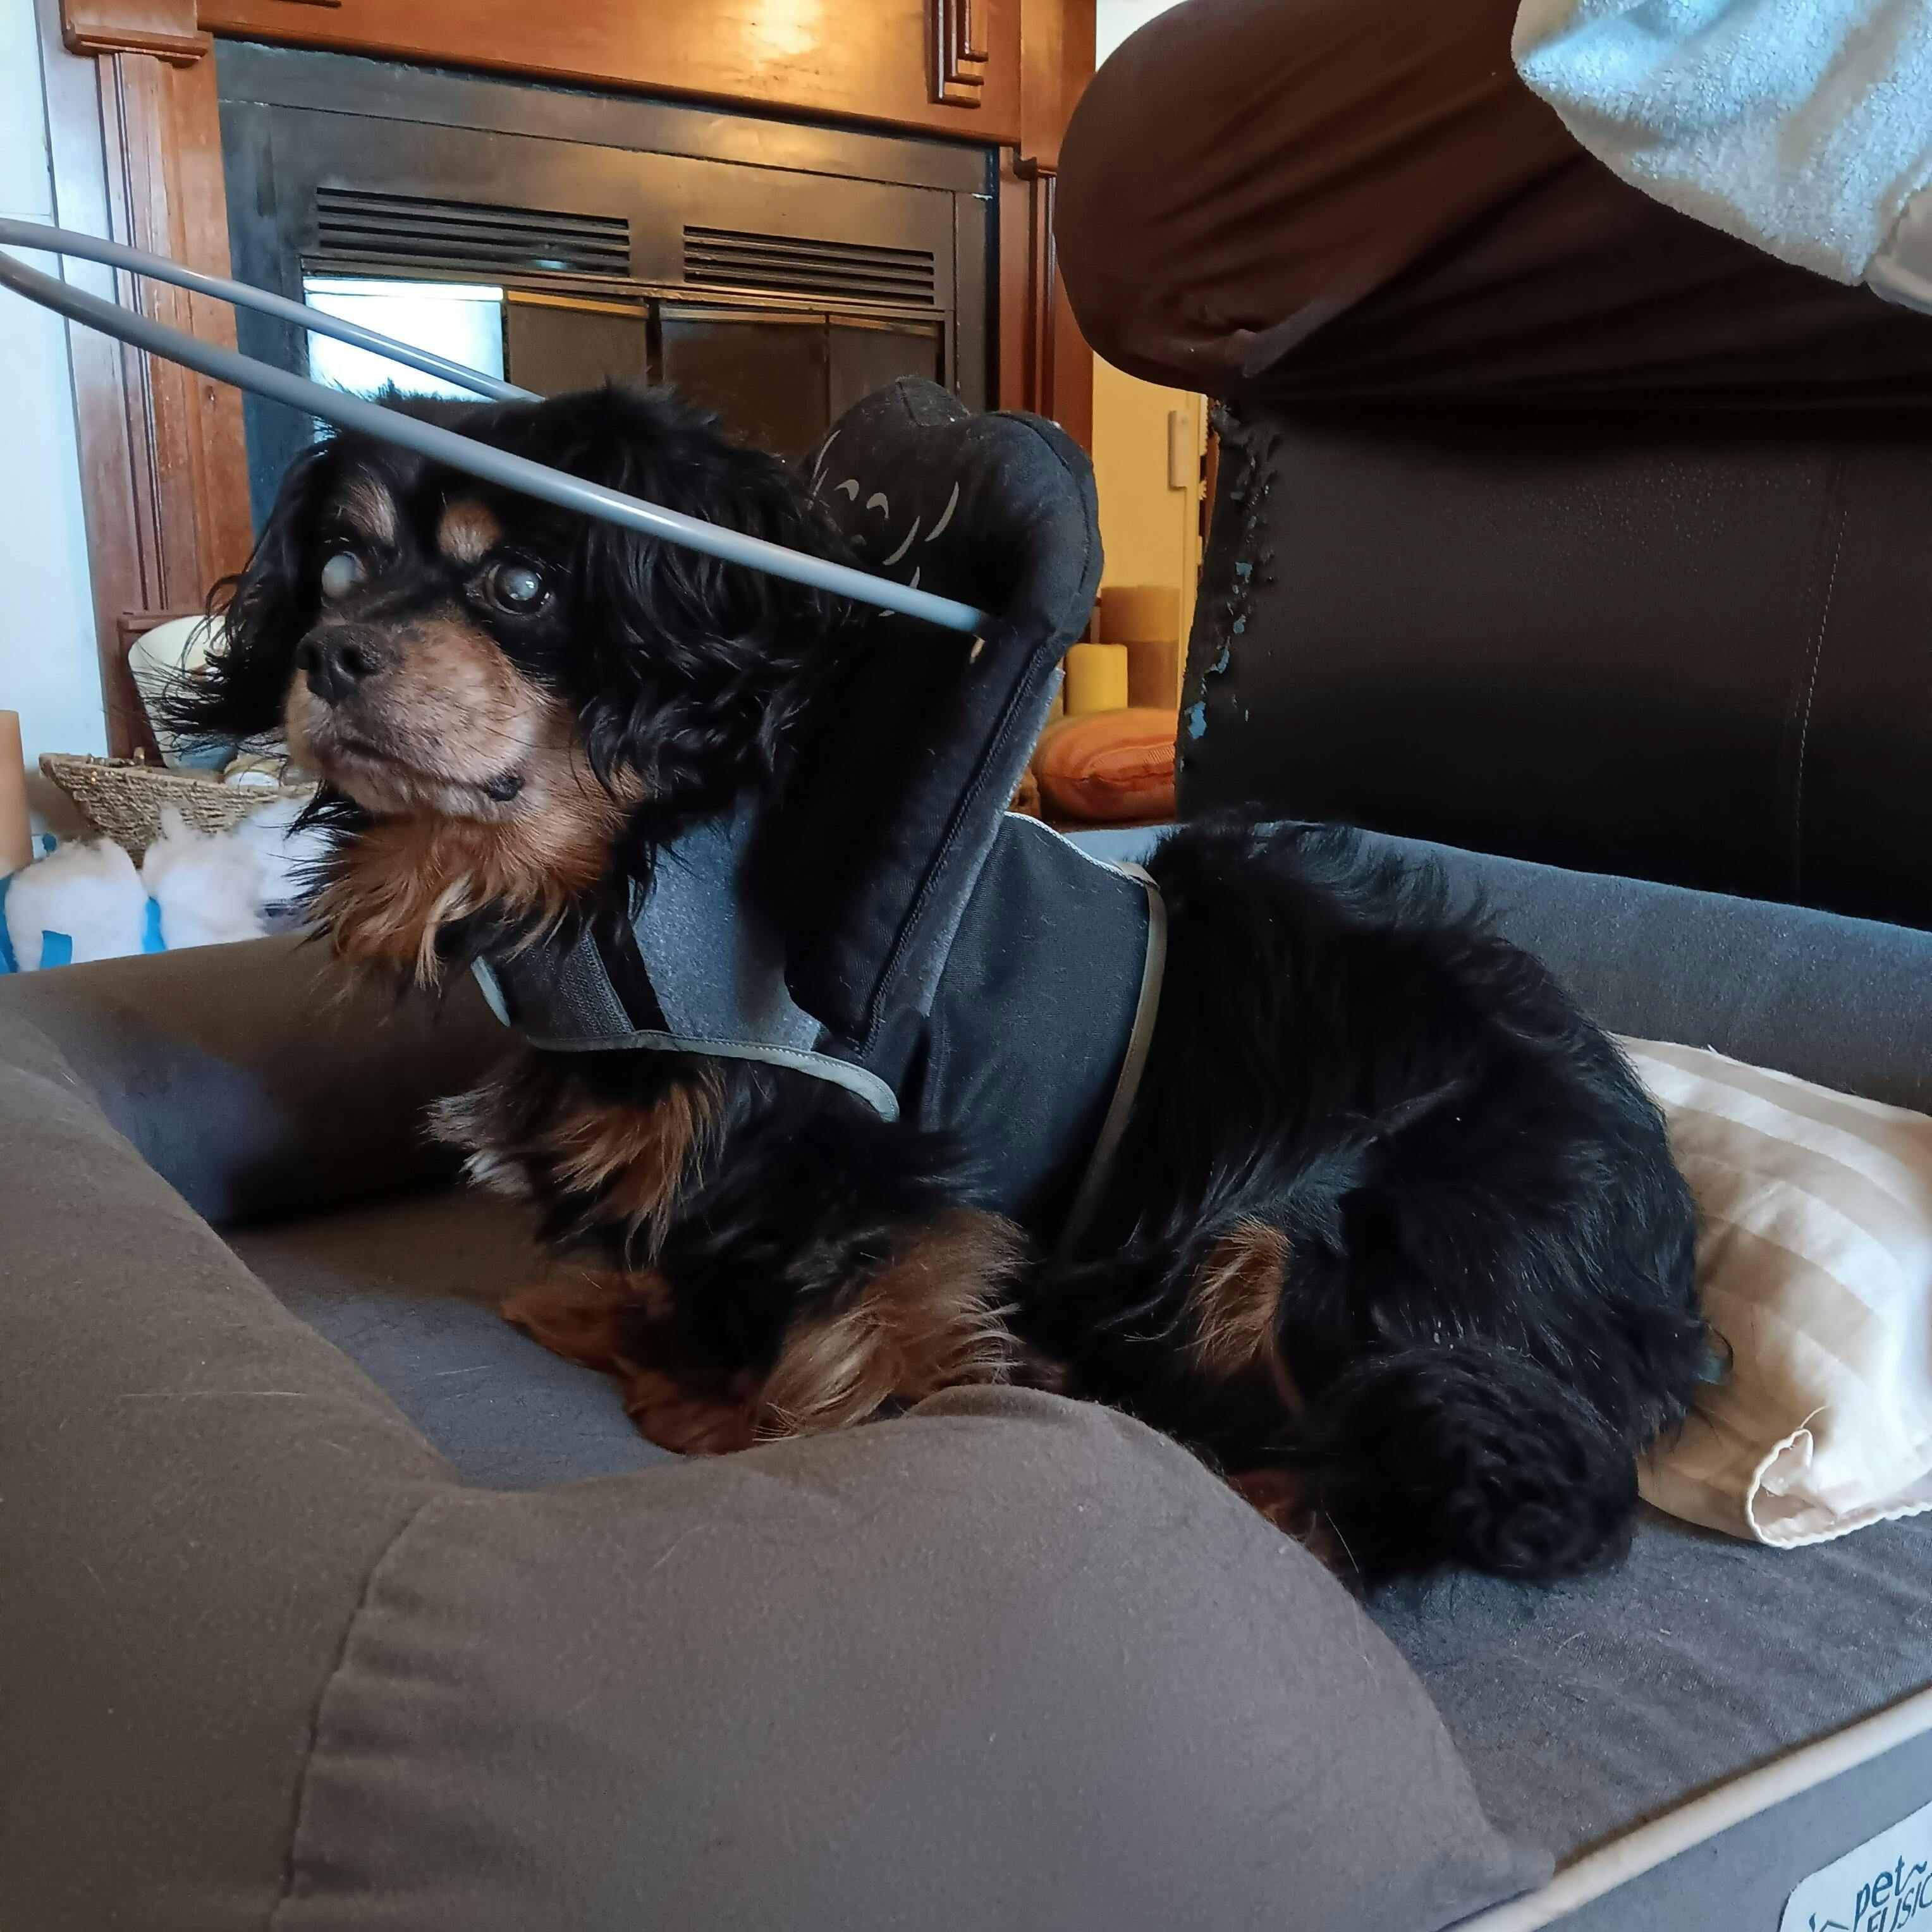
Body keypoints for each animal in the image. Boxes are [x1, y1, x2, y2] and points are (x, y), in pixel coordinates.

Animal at [170, 384, 1707, 1584]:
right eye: (339, 572)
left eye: (522, 588)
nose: (331, 655)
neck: (616, 886)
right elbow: (694, 1258)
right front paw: (638, 1332)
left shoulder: (876, 1162)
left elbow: (850, 1325)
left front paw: (738, 1416)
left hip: (1316, 1248)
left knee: (1500, 1481)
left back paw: (1261, 1494)